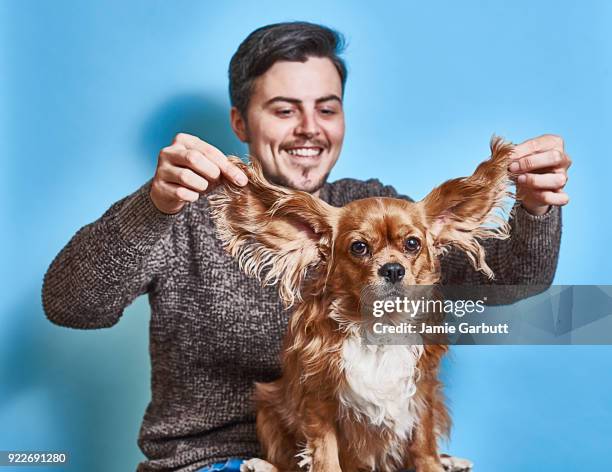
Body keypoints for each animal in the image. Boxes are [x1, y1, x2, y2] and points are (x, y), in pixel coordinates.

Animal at [208, 136, 512, 472]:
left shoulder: (421, 391)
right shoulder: (318, 399)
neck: (378, 324)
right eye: (359, 247)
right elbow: (325, 457)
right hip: (268, 403)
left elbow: (424, 445)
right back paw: (260, 464)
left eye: (412, 244)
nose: (393, 269)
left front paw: (435, 464)